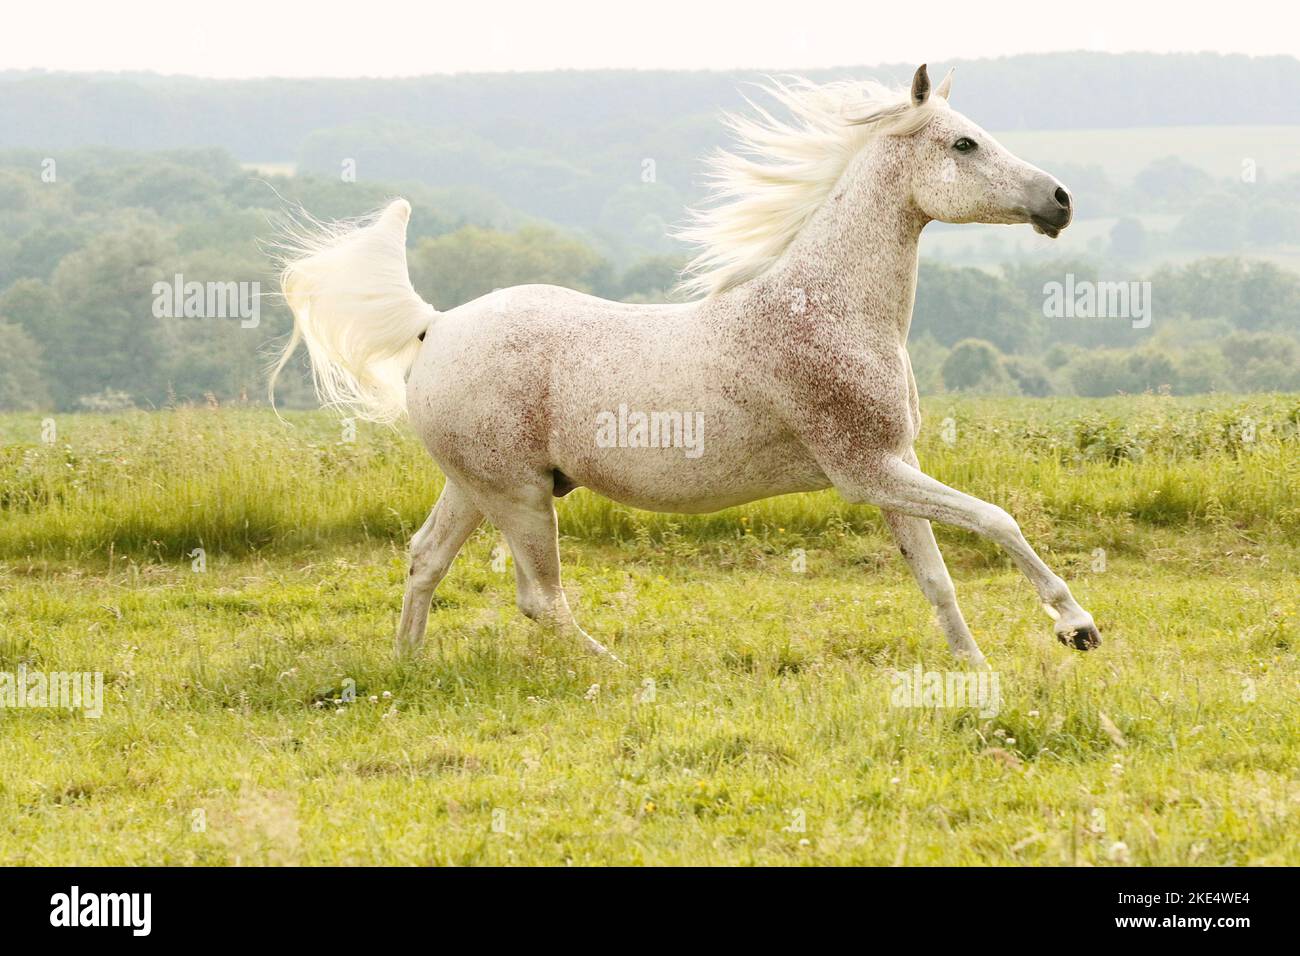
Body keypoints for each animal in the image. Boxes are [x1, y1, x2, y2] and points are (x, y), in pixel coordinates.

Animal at [270, 64, 1099, 670]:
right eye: (963, 145)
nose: (1060, 200)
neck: (823, 309)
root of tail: (433, 327)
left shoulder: (893, 467)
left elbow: (936, 578)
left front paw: (975, 668)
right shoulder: (867, 471)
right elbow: (995, 519)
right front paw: (1076, 627)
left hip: (481, 488)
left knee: (424, 559)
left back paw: (407, 666)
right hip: (517, 497)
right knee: (540, 599)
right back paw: (617, 670)